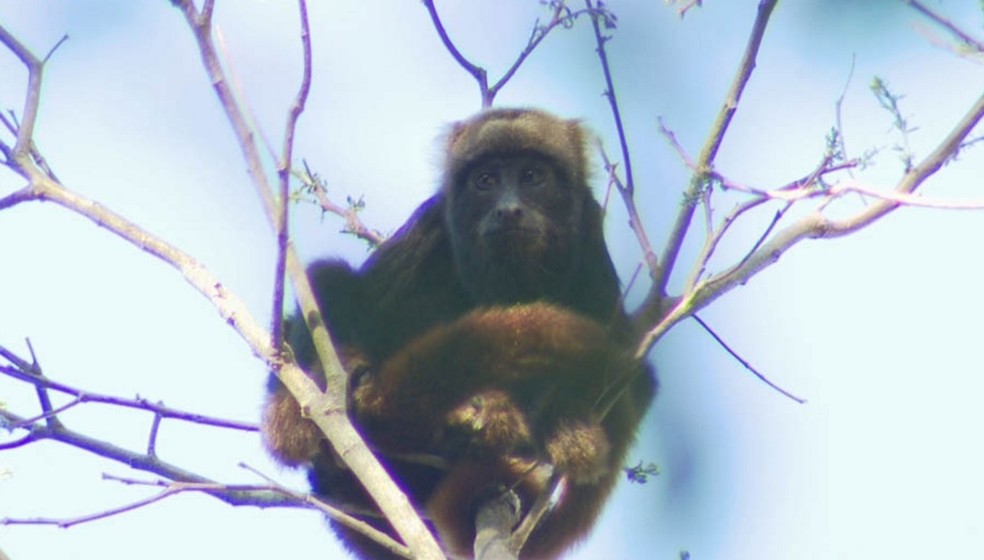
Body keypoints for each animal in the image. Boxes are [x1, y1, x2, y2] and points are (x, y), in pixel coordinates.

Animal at [266, 109, 656, 560]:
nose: (508, 210)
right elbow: (337, 288)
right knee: (332, 278)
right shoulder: (430, 225)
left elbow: (626, 371)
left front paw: (569, 425)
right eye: (485, 180)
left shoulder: (591, 240)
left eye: (532, 176)